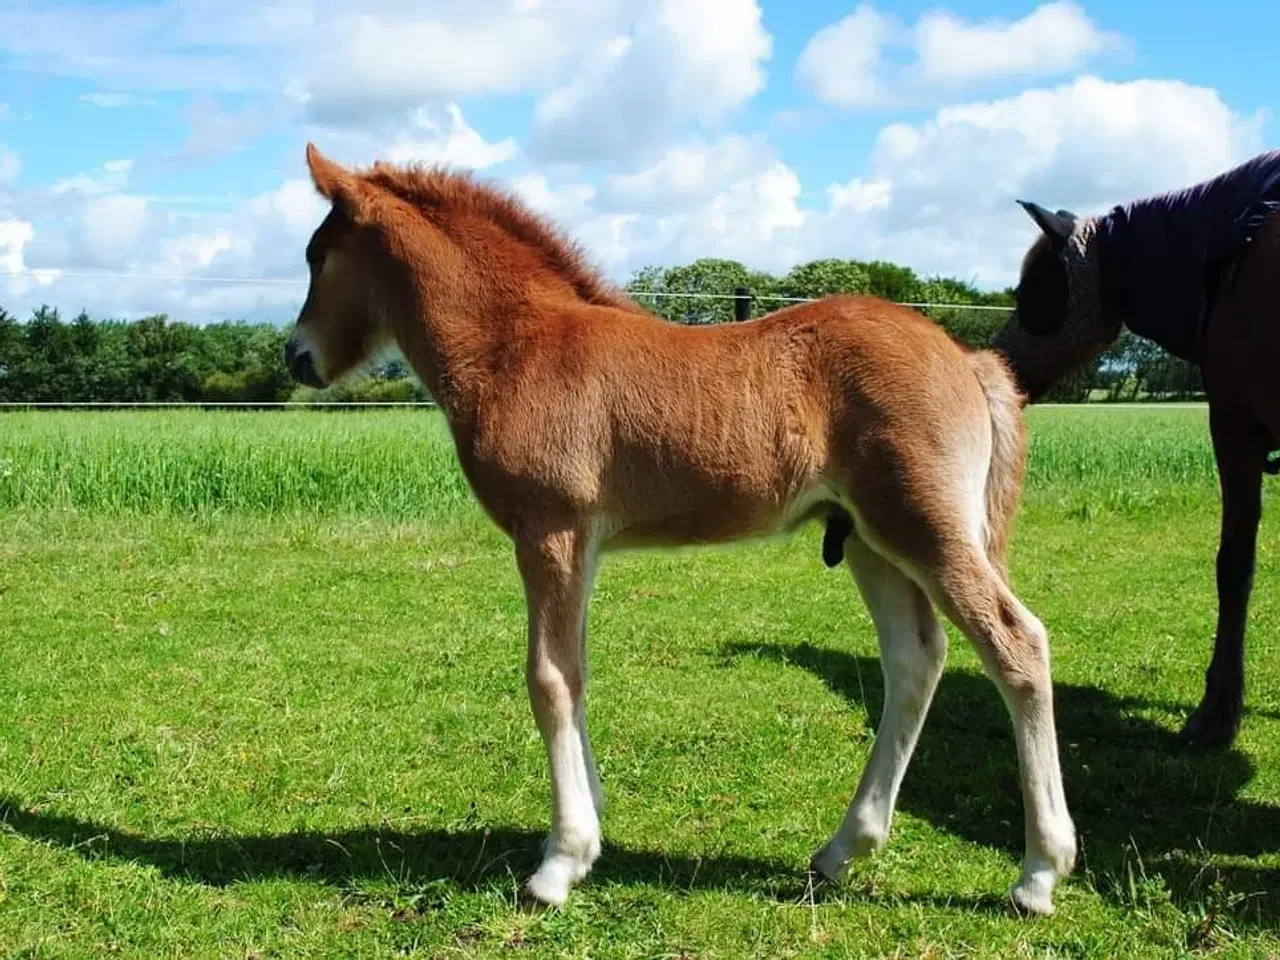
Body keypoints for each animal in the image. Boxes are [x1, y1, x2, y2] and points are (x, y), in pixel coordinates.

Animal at [285, 144, 1075, 916]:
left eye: (318, 255)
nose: (296, 357)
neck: (516, 346)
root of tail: (968, 359)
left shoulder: (550, 532)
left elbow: (549, 677)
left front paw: (560, 863)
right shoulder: (581, 546)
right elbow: (576, 669)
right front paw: (589, 831)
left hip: (925, 528)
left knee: (1015, 643)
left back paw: (1038, 874)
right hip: (870, 540)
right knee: (915, 660)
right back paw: (841, 851)